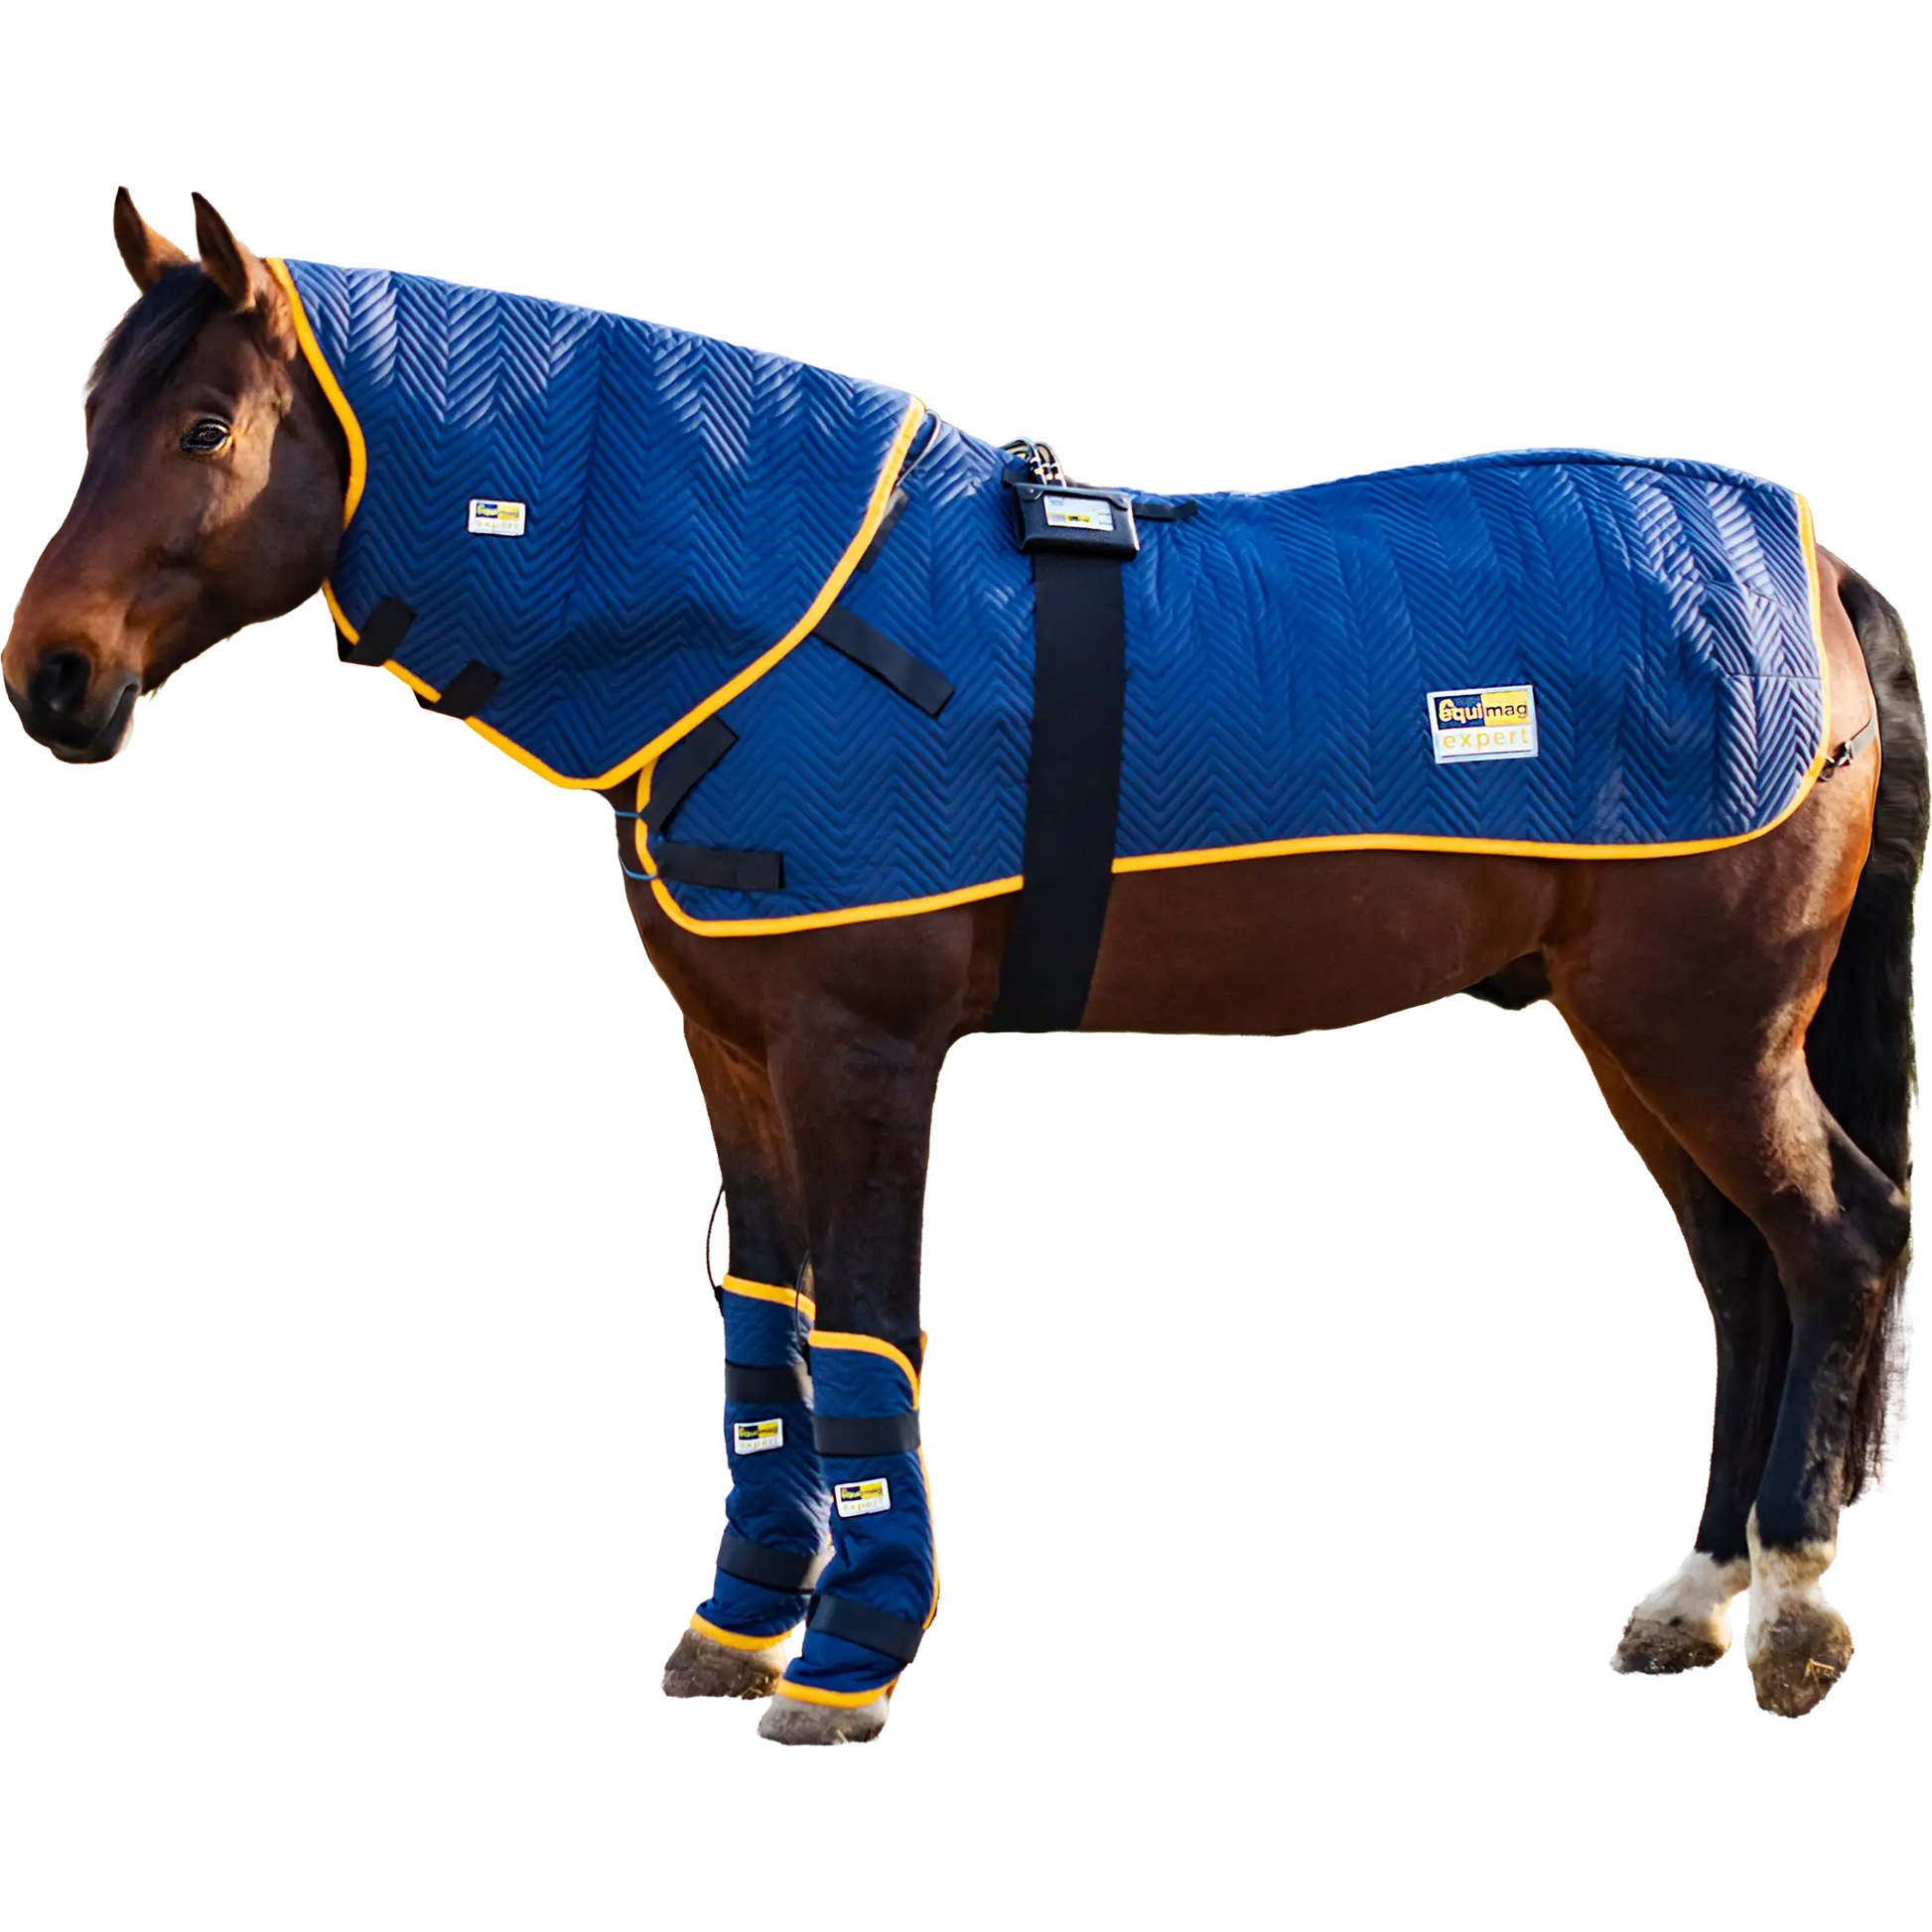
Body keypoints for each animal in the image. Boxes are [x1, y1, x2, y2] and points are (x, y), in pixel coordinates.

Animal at [5, 186, 1921, 1746]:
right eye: (92, 413)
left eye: (203, 426)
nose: (52, 678)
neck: (772, 621)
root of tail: (1820, 563)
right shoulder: (735, 1052)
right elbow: (765, 1329)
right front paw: (737, 1628)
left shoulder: (864, 1050)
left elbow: (865, 1323)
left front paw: (849, 1662)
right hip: (1631, 1031)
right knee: (1742, 1278)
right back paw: (1693, 1597)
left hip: (1701, 1026)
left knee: (1834, 1241)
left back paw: (1791, 1612)